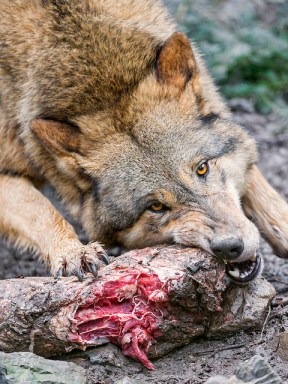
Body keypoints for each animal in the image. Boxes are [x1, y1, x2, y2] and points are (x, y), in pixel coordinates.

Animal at [0, 0, 286, 282]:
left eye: (202, 168)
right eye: (156, 206)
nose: (229, 247)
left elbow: (256, 181)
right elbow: (42, 212)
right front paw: (74, 252)